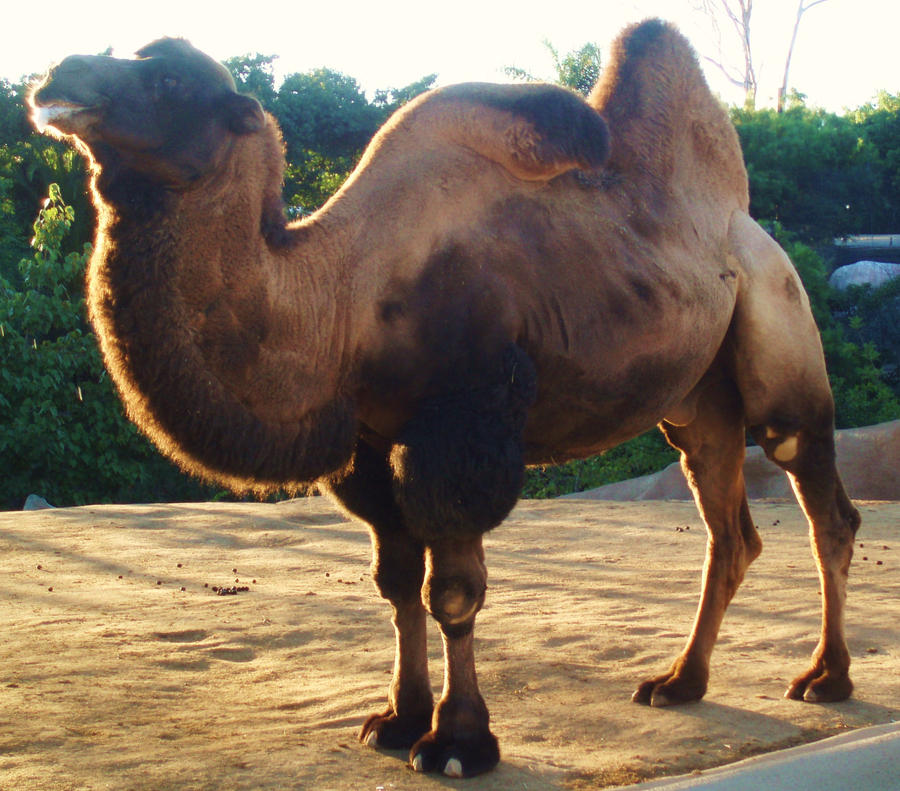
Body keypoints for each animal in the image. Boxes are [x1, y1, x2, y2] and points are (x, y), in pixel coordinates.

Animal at [29, 18, 856, 780]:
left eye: (169, 81)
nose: (53, 77)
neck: (343, 300)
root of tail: (750, 225)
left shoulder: (463, 424)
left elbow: (453, 591)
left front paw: (459, 742)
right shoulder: (371, 445)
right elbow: (396, 585)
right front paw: (398, 718)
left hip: (778, 321)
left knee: (818, 492)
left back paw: (826, 677)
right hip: (695, 401)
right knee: (729, 526)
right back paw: (682, 680)